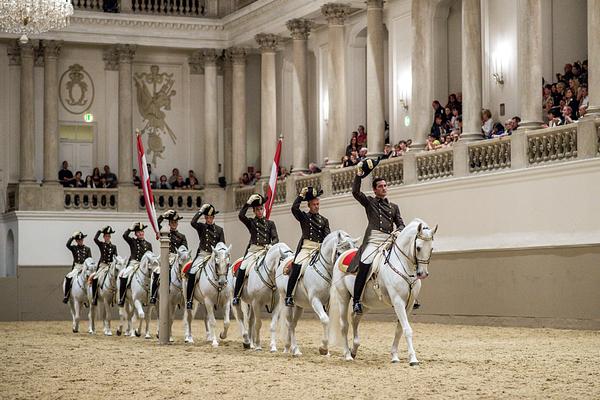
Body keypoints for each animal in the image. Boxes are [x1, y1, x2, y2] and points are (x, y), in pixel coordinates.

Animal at [330, 220, 434, 364]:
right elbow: (407, 329)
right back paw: (347, 355)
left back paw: (354, 350)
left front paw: (395, 356)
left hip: (365, 304)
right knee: (344, 325)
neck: (403, 265)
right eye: (418, 247)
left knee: (355, 318)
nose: (422, 274)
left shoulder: (409, 305)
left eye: (431, 248)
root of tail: (343, 255)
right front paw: (413, 359)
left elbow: (399, 330)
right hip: (343, 297)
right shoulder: (398, 302)